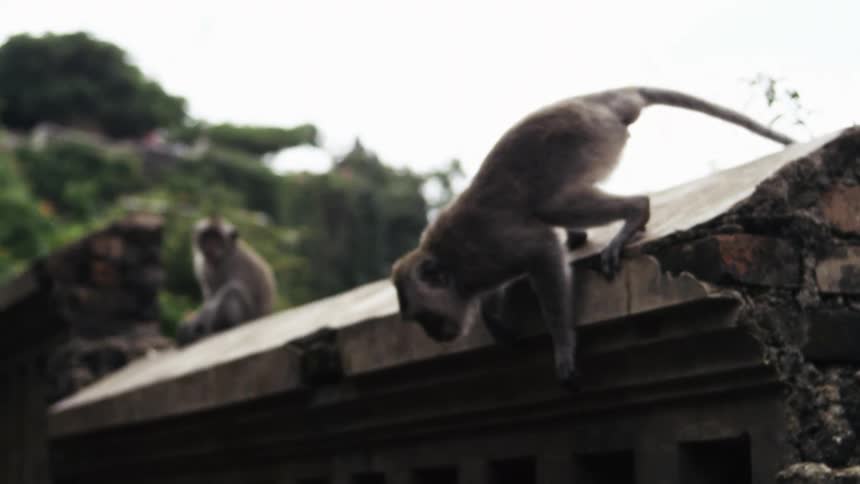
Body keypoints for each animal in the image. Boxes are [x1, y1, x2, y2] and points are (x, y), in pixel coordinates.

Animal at [176, 217, 277, 346]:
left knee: (232, 291)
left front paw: (195, 322)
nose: (210, 246)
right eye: (207, 237)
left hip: (249, 317)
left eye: (217, 239)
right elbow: (209, 296)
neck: (218, 261)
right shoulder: (202, 265)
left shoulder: (234, 263)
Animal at [391, 86, 794, 387]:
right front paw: (494, 319)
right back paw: (579, 236)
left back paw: (634, 212)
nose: (435, 335)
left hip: (589, 137)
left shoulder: (486, 250)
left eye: (424, 317)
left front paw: (563, 345)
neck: (451, 267)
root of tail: (595, 101)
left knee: (553, 204)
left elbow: (541, 251)